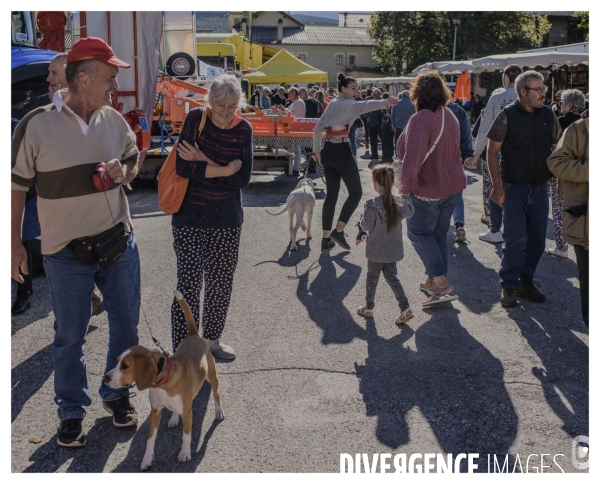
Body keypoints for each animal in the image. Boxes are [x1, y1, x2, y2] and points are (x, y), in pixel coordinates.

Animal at [102, 292, 224, 468]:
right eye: (117, 361)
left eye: (125, 366)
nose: (105, 377)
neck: (163, 383)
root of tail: (194, 335)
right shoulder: (155, 411)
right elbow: (150, 440)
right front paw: (147, 459)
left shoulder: (188, 412)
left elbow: (186, 435)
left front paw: (185, 453)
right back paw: (174, 418)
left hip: (212, 377)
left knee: (216, 394)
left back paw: (219, 411)